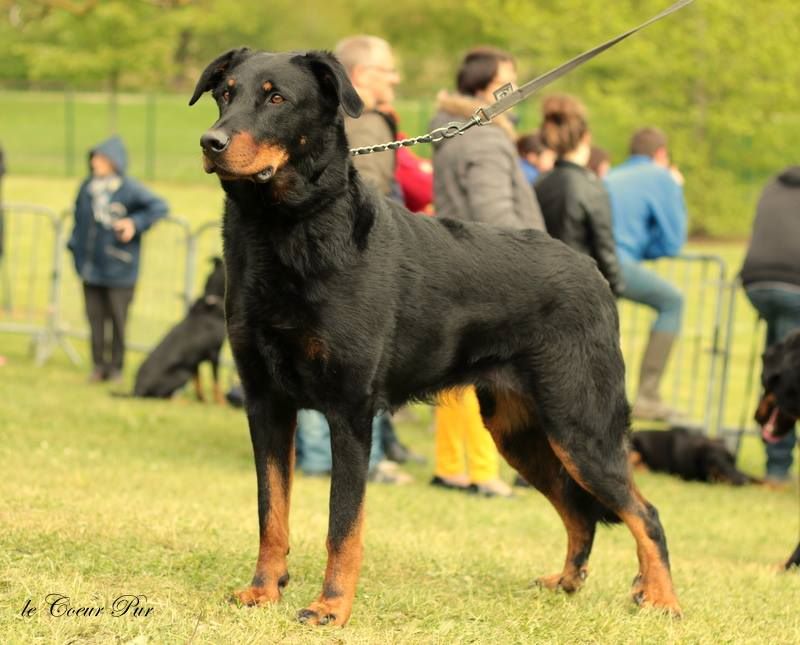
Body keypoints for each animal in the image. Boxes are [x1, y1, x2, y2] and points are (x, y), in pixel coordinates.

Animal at [130, 255, 225, 398]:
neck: (211, 302)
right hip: (182, 373)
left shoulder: (195, 359)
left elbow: (198, 383)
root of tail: (138, 388)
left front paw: (201, 399)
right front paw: (219, 401)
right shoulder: (214, 353)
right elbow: (216, 384)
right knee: (164, 396)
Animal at [189, 47, 680, 628]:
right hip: (521, 433)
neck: (287, 232)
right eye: (225, 94)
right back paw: (566, 582)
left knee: (645, 512)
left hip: (581, 427)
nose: (211, 142)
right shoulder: (266, 404)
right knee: (580, 511)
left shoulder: (350, 412)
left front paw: (332, 606)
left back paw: (663, 598)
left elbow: (342, 524)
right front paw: (264, 590)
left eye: (277, 98)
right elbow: (273, 513)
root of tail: (594, 272)